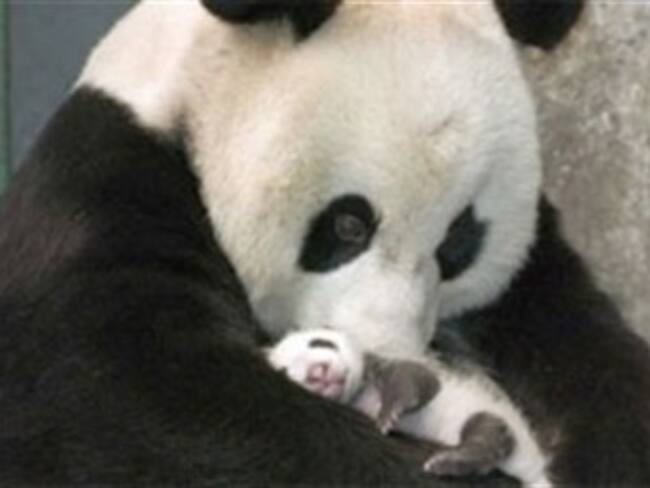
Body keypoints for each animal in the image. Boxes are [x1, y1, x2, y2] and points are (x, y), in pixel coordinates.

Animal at [1, 0, 649, 486]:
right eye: (348, 226)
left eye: (457, 246)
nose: (387, 354)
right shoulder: (103, 191)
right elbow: (138, 402)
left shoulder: (532, 273)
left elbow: (588, 357)